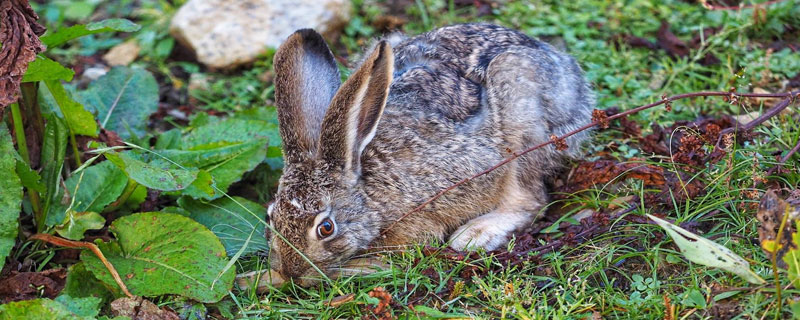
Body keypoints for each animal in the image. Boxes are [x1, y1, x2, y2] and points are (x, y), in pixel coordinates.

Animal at [268, 23, 592, 284]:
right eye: (271, 216)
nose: (291, 273)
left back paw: (476, 234)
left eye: (326, 228)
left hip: (520, 116)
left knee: (531, 198)